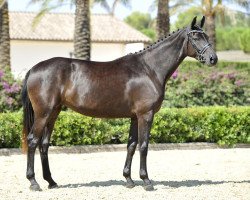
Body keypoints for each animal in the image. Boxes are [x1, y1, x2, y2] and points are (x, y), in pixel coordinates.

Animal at [21, 16, 217, 191]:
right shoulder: (146, 115)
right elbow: (144, 146)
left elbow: (131, 145)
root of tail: (33, 69)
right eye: (195, 37)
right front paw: (146, 181)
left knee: (44, 144)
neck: (149, 69)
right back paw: (34, 182)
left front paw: (129, 180)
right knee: (32, 141)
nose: (213, 59)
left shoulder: (135, 117)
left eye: (206, 36)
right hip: (43, 113)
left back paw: (51, 181)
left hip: (54, 113)